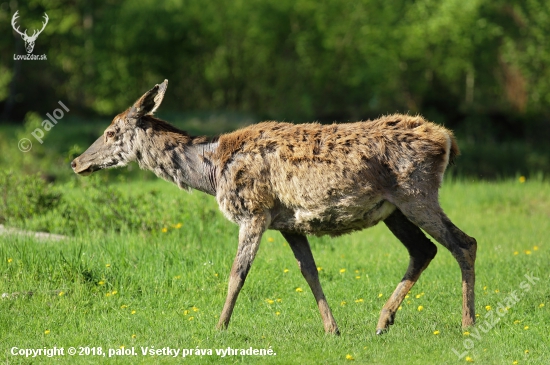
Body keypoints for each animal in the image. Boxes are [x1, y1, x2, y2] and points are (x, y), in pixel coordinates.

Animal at [71, 80, 476, 336]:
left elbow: (237, 273)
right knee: (424, 249)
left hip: (417, 193)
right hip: (393, 209)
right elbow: (309, 271)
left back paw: (467, 323)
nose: (76, 162)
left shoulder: (254, 210)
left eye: (111, 132)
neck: (211, 171)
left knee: (463, 243)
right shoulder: (290, 224)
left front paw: (219, 327)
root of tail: (448, 140)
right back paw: (383, 321)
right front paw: (332, 328)